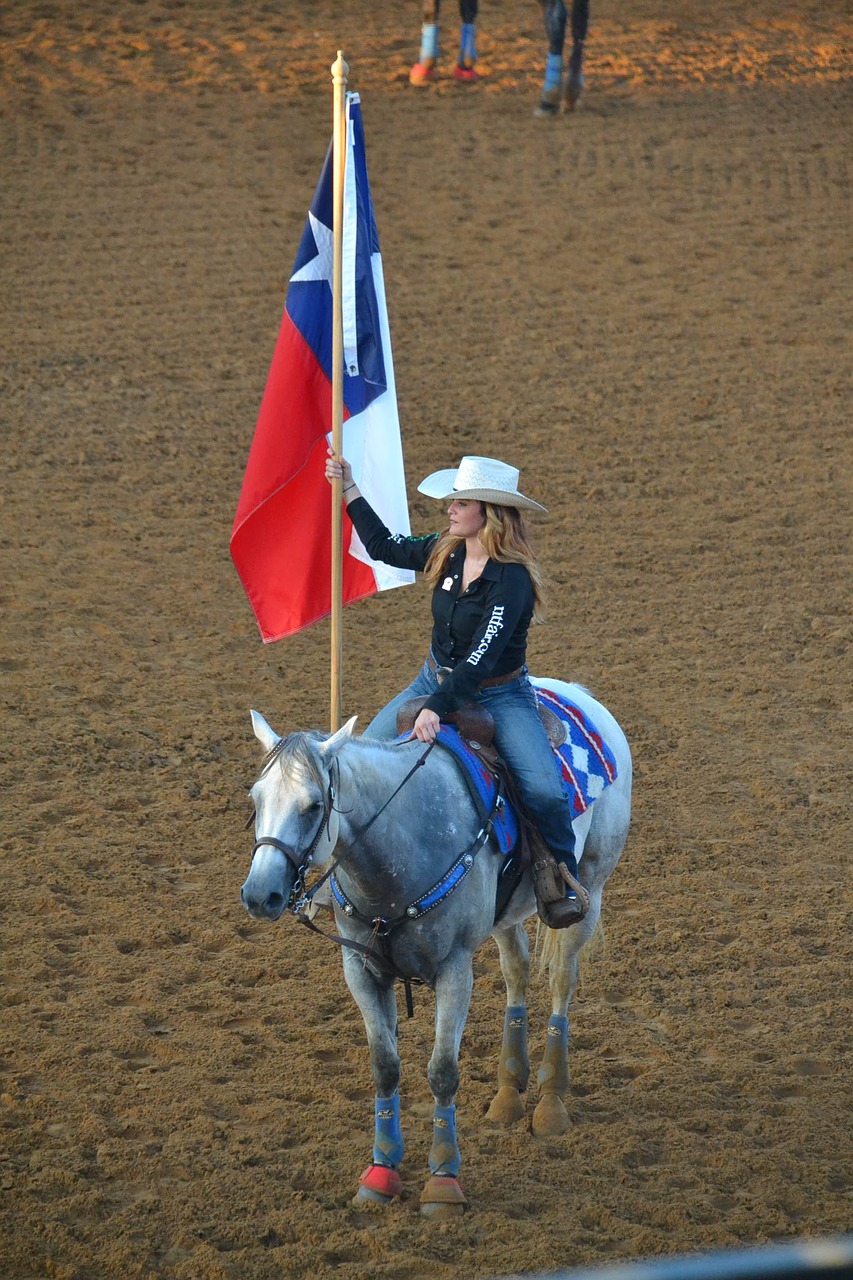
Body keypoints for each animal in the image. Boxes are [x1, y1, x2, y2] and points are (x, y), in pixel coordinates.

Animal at [242, 675, 627, 1213]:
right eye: (256, 799)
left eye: (314, 805)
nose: (261, 895)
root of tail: (577, 691)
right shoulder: (361, 969)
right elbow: (385, 1067)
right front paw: (380, 1173)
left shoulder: (454, 970)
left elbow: (443, 1071)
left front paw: (443, 1183)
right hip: (505, 915)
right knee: (517, 972)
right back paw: (508, 1094)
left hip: (589, 888)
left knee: (561, 983)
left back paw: (550, 1103)